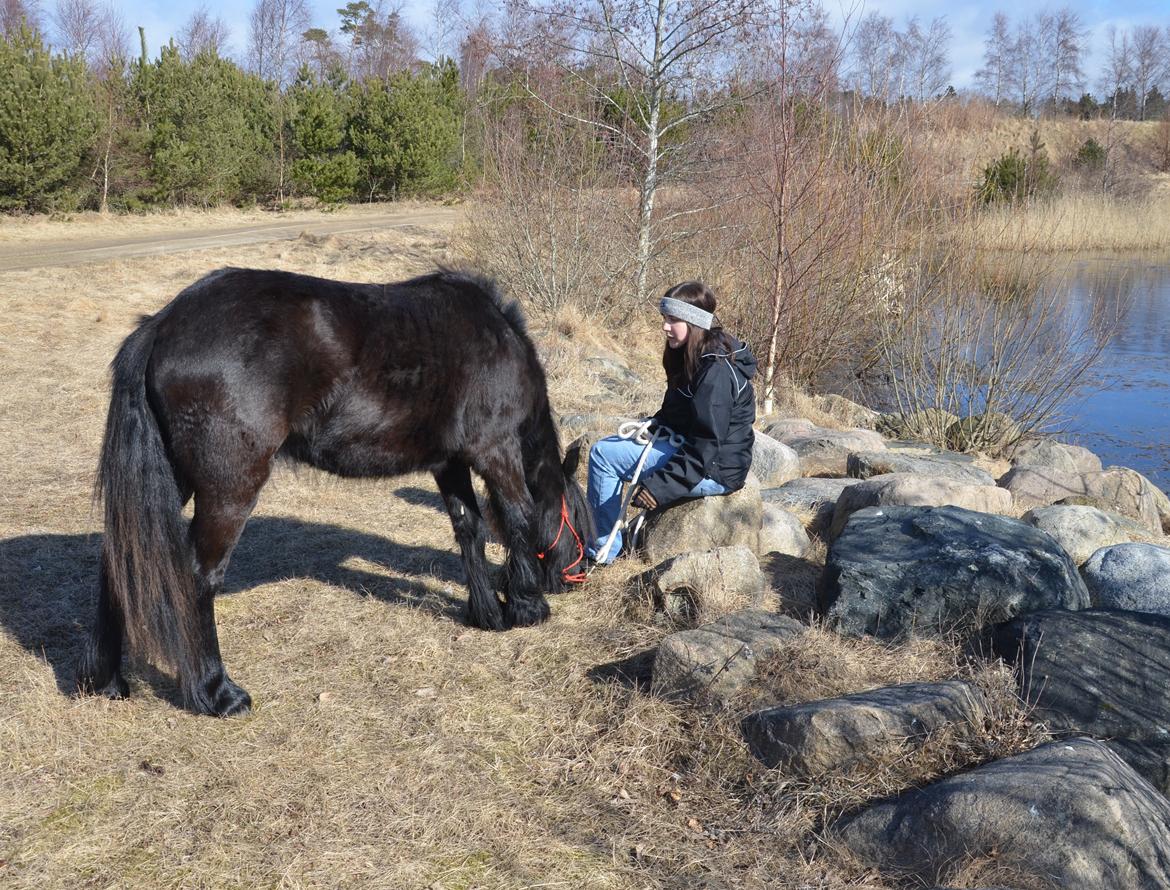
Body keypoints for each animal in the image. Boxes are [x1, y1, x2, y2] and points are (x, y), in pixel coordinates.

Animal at [80, 264, 594, 715]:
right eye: (582, 523)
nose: (580, 575)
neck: (499, 340)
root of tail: (163, 323)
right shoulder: (496, 451)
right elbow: (518, 516)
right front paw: (527, 606)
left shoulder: (448, 463)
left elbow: (469, 528)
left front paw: (486, 613)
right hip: (228, 491)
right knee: (196, 578)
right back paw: (218, 693)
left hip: (177, 477)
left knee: (122, 562)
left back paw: (107, 682)